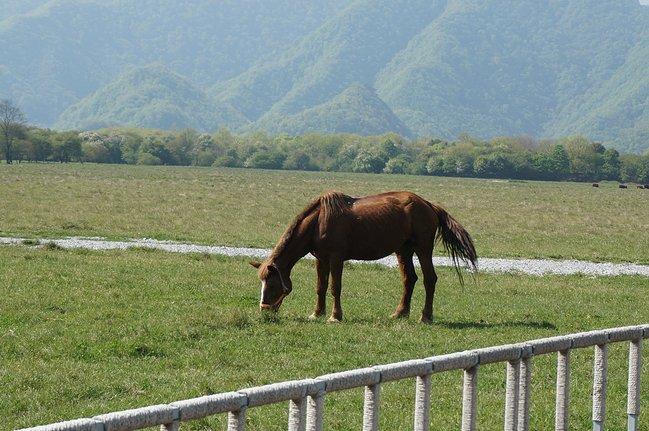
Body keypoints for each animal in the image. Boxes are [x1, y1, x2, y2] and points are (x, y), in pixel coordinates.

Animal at [251, 191, 478, 322]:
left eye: (272, 284)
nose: (264, 311)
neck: (318, 221)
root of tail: (429, 205)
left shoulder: (336, 258)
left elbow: (335, 287)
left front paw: (335, 316)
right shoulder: (320, 259)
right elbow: (320, 287)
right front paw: (317, 313)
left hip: (422, 249)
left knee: (429, 279)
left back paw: (426, 316)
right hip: (403, 250)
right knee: (409, 279)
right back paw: (400, 313)